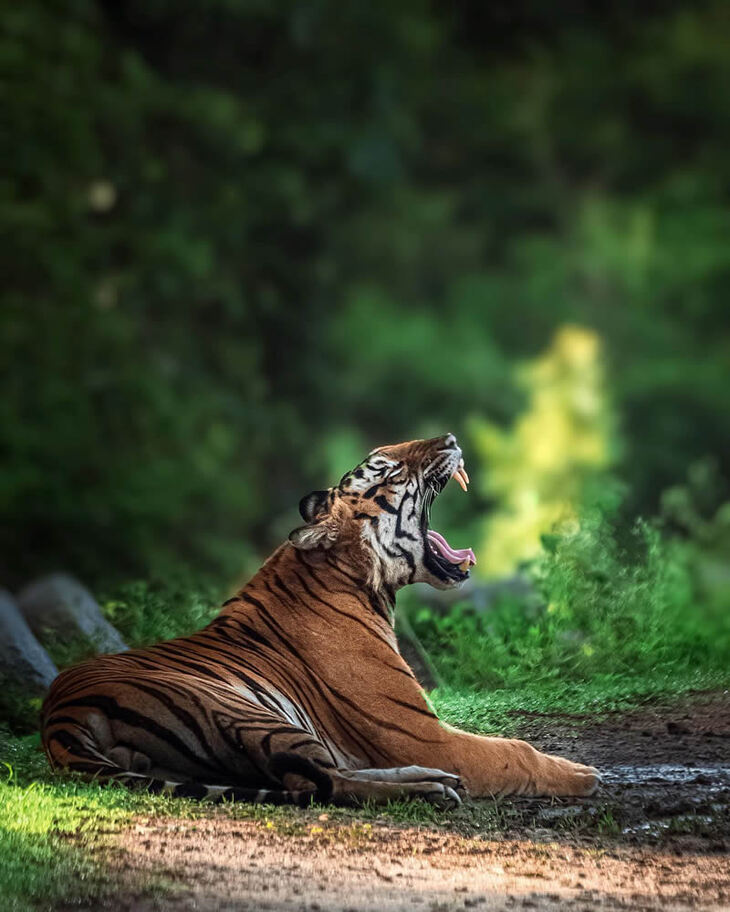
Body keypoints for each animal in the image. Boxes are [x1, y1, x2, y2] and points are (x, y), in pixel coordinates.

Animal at [41, 438, 596, 808]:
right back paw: (433, 787)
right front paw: (584, 774)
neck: (361, 583)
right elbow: (515, 751)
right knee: (319, 782)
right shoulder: (423, 733)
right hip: (245, 712)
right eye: (389, 470)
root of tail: (59, 717)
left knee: (319, 775)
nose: (451, 439)